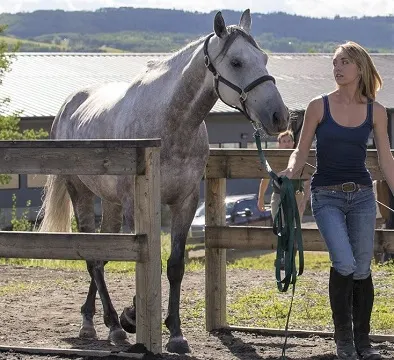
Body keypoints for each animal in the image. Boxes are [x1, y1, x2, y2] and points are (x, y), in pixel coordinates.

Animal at [38, 9, 288, 354]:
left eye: (263, 58)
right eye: (237, 62)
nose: (280, 116)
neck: (170, 124)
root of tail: (66, 108)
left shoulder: (184, 203)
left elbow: (174, 266)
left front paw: (176, 333)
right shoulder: (138, 208)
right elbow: (147, 262)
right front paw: (134, 315)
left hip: (111, 205)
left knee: (102, 255)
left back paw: (94, 319)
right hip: (81, 193)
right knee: (92, 258)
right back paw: (111, 326)